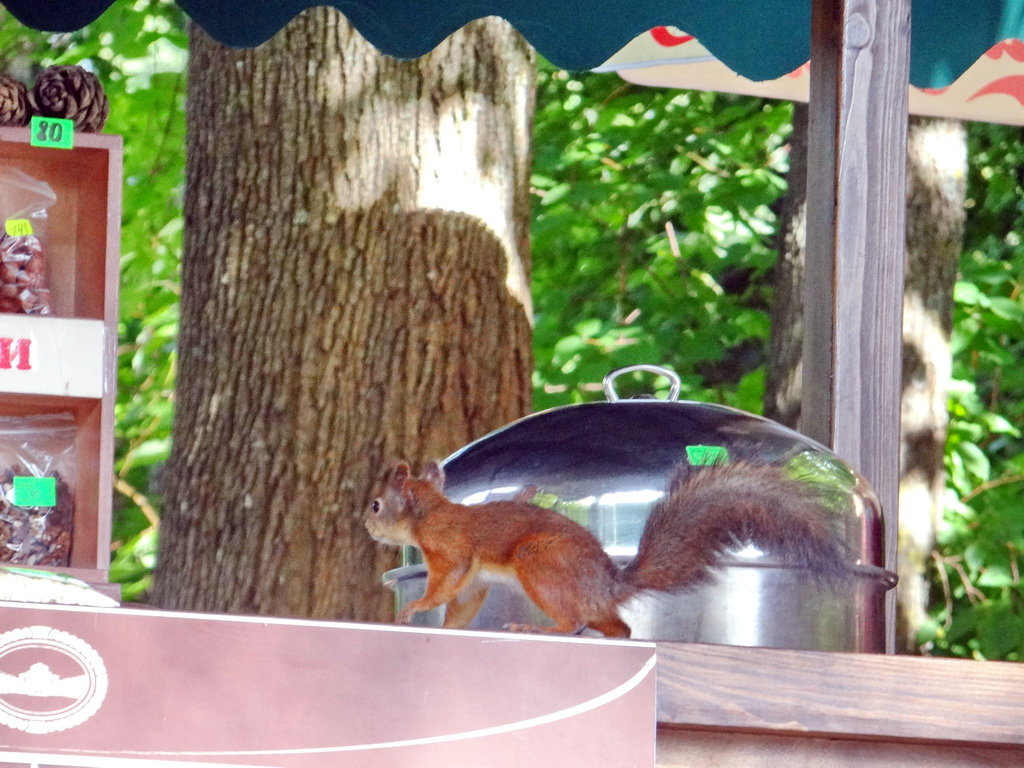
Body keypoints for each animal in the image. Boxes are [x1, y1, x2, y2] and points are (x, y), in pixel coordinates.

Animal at [366, 460, 847, 638]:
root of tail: (607, 586)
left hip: (538, 562)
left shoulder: (451, 553)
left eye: (376, 504)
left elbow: (443, 585)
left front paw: (412, 610)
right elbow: (460, 606)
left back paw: (539, 628)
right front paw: (447, 627)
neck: (429, 514)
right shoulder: (473, 582)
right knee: (620, 629)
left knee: (574, 623)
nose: (366, 524)